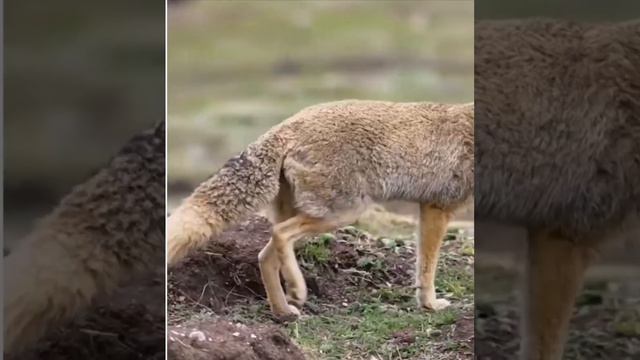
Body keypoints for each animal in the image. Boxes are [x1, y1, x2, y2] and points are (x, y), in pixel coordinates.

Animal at [165, 99, 476, 320]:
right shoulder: (439, 207)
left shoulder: (430, 208)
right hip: (341, 213)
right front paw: (431, 305)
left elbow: (424, 264)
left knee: (265, 256)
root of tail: (286, 125)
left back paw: (283, 311)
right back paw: (297, 290)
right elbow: (427, 268)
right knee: (280, 235)